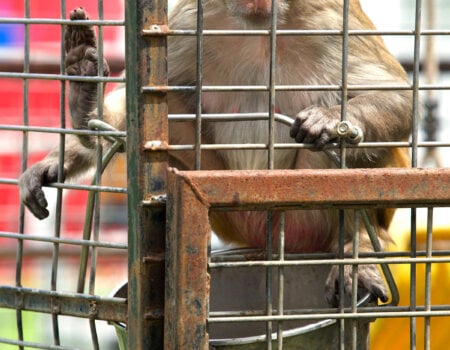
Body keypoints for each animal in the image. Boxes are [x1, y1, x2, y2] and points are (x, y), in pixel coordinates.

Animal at [19, 0, 412, 306]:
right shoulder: (191, 18)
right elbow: (145, 107)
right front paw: (57, 158)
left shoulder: (330, 18)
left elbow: (398, 97)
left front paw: (330, 121)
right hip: (230, 214)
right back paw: (86, 104)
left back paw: (357, 248)